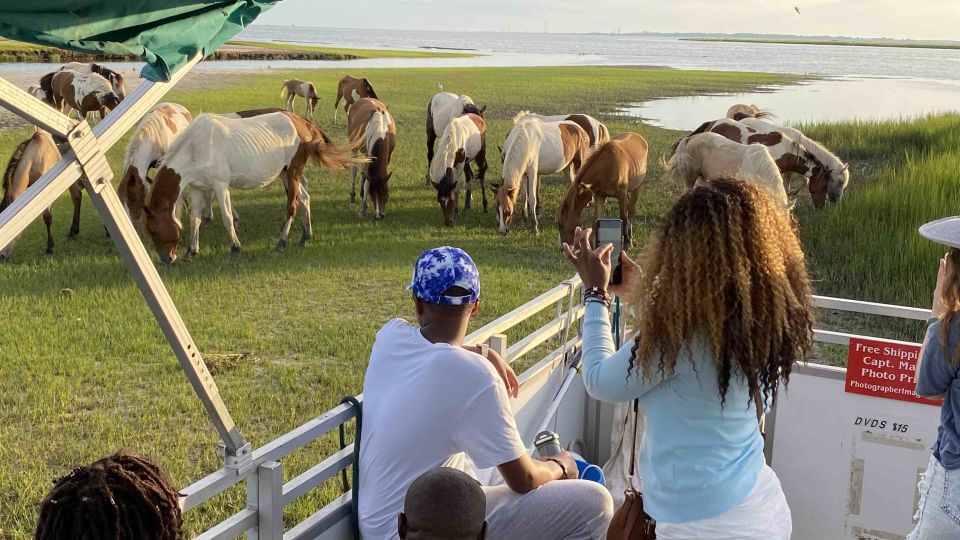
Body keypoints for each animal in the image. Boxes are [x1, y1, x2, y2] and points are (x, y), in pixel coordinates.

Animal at [0, 130, 84, 258]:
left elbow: (47, 218)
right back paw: (73, 232)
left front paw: (49, 248)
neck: (35, 157)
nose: (2, 256)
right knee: (77, 197)